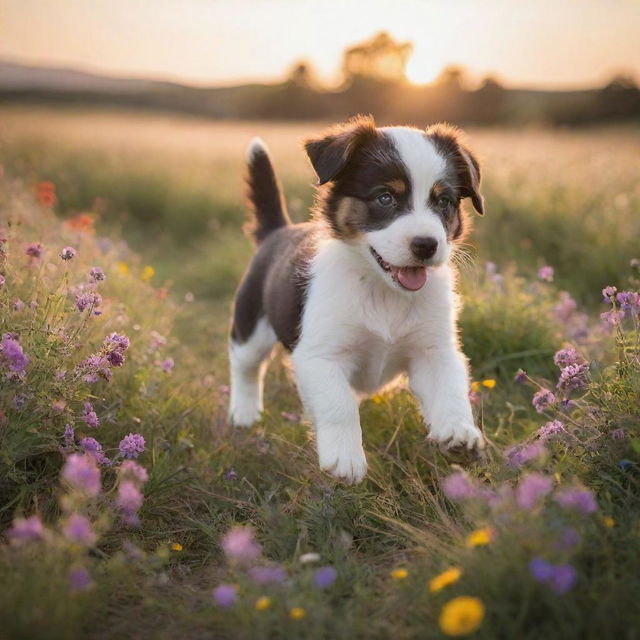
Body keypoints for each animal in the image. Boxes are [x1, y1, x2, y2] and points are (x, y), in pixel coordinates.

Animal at [230, 116, 484, 484]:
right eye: (385, 197)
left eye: (443, 202)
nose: (426, 245)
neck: (383, 289)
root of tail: (278, 230)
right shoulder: (319, 355)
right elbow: (339, 405)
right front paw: (345, 459)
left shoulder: (434, 349)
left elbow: (450, 387)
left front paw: (458, 431)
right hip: (251, 322)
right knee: (245, 365)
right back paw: (244, 412)